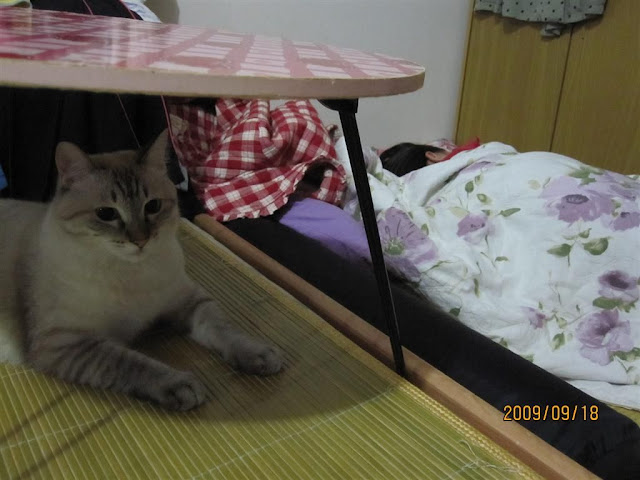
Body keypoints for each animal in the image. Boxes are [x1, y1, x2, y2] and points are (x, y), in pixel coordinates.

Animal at [0, 131, 283, 411]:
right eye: (106, 213)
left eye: (153, 206)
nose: (140, 240)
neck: (131, 272)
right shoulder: (67, 343)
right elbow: (133, 363)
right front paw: (181, 385)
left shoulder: (189, 301)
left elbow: (223, 330)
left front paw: (258, 355)